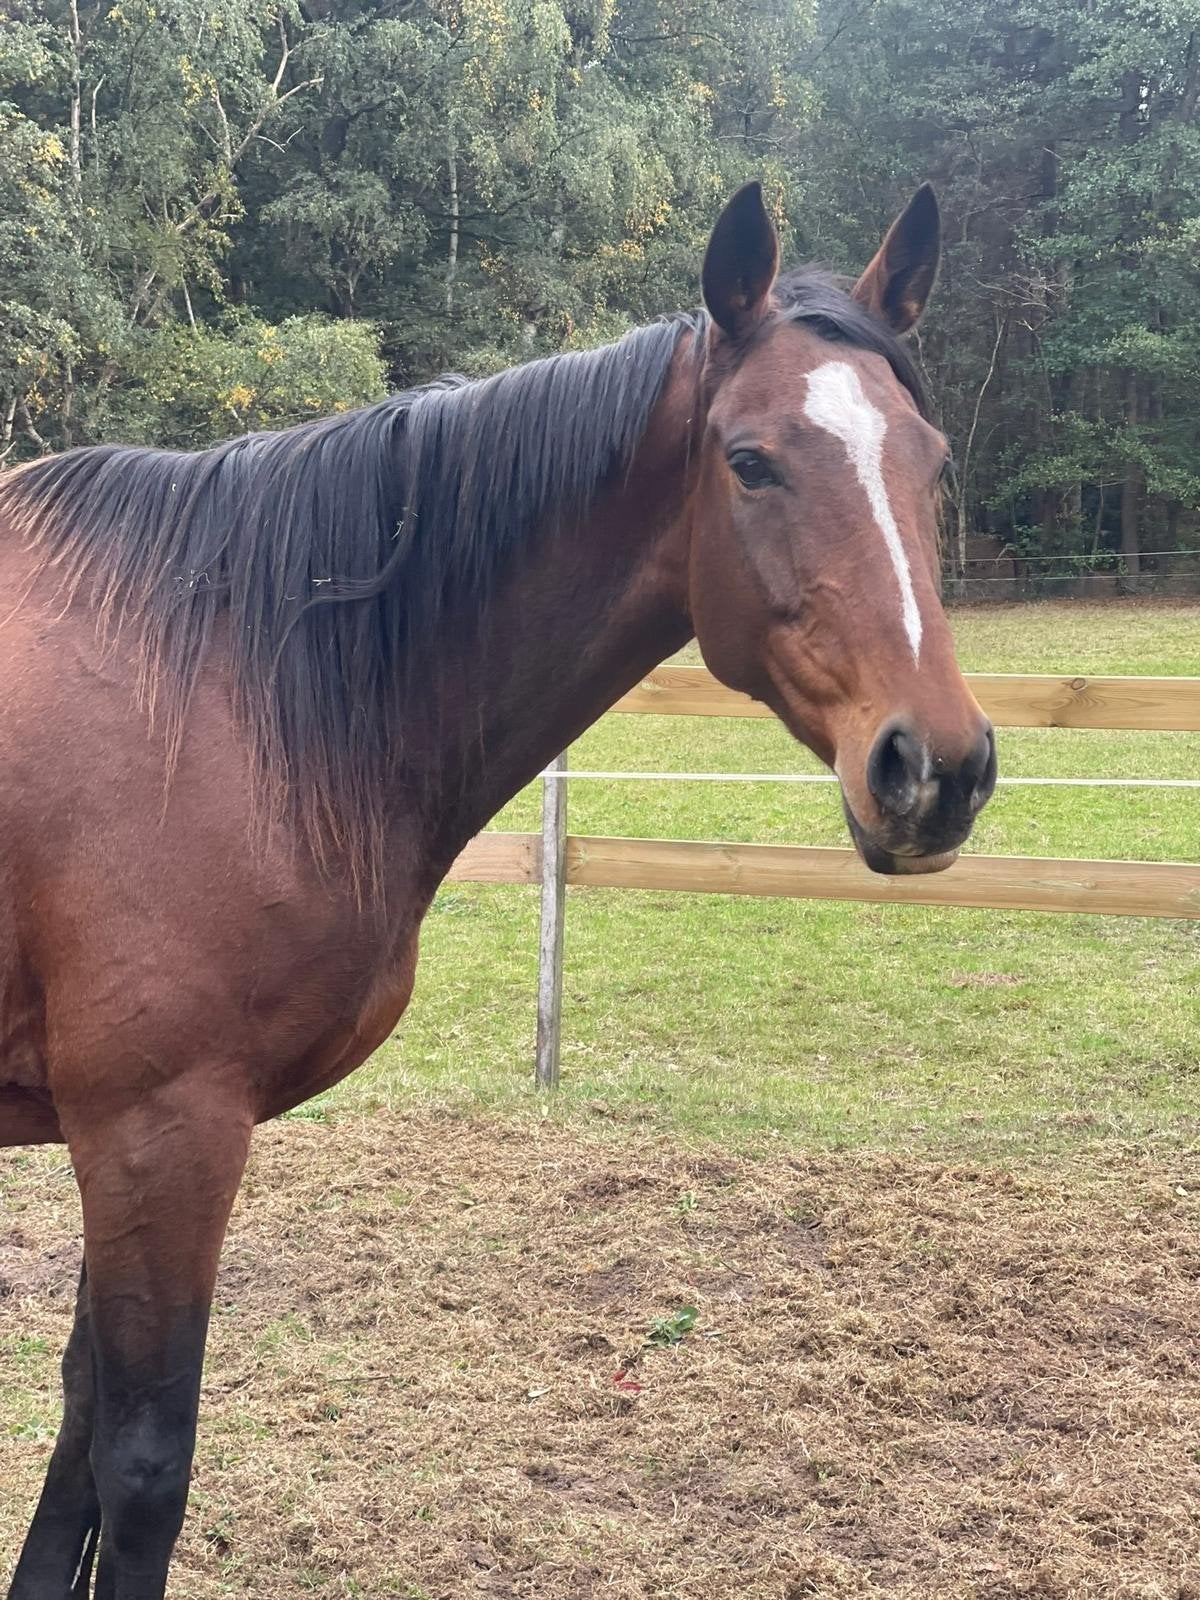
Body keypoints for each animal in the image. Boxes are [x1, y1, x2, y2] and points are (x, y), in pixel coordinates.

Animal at [0, 180, 996, 1597]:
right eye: (750, 461)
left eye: (932, 460)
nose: (940, 768)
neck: (224, 685)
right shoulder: (158, 1129)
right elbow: (139, 1466)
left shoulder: (127, 1134)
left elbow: (80, 1427)